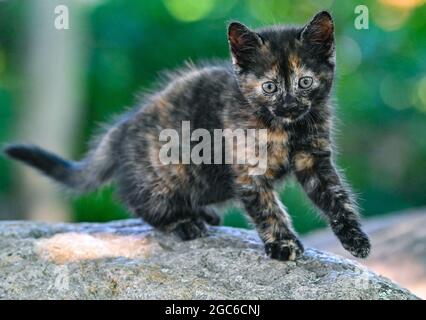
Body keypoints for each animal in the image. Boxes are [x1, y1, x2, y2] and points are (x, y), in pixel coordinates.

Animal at [4, 11, 370, 260]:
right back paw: (184, 222)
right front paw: (282, 243)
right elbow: (267, 208)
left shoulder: (314, 158)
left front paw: (355, 238)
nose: (290, 104)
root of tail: (122, 130)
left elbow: (337, 197)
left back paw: (202, 214)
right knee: (141, 203)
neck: (287, 127)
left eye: (305, 82)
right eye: (269, 87)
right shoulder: (248, 170)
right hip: (169, 170)